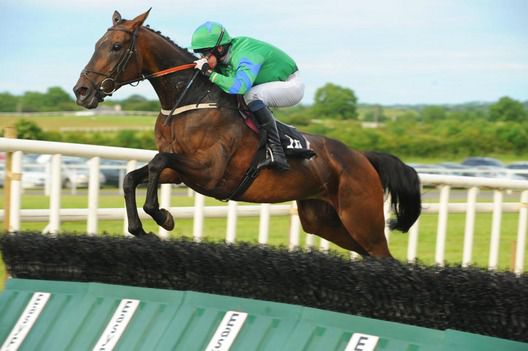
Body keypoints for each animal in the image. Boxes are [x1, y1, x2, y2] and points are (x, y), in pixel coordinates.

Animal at [73, 9, 420, 258]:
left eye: (116, 47)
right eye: (96, 45)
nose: (82, 91)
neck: (187, 100)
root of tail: (362, 158)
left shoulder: (210, 171)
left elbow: (158, 162)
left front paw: (162, 216)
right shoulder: (183, 169)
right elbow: (134, 177)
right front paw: (139, 226)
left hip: (361, 218)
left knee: (384, 255)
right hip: (324, 220)